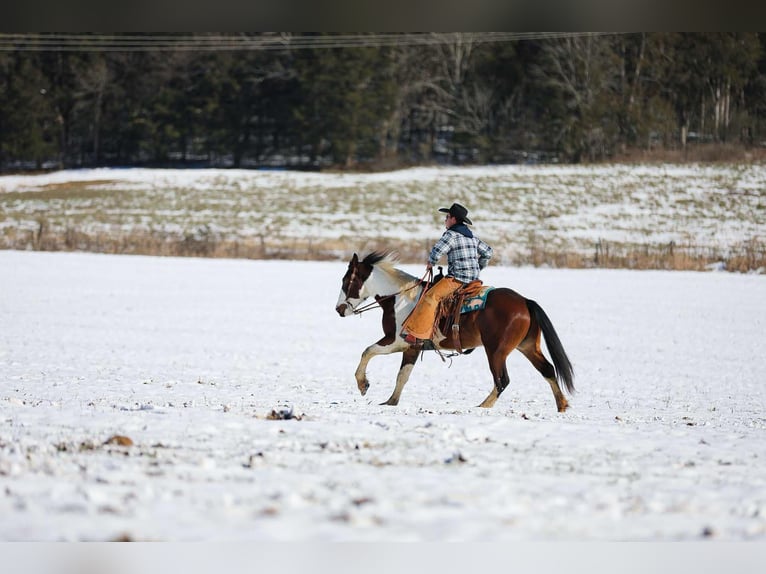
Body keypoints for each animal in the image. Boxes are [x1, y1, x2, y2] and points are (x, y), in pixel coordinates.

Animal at [336, 252, 576, 414]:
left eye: (347, 281)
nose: (339, 309)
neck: (401, 299)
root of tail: (525, 301)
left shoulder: (396, 341)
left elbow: (367, 351)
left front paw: (363, 385)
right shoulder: (412, 347)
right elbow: (402, 375)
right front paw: (391, 401)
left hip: (496, 351)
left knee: (502, 380)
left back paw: (483, 405)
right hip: (527, 346)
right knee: (547, 369)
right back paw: (562, 405)